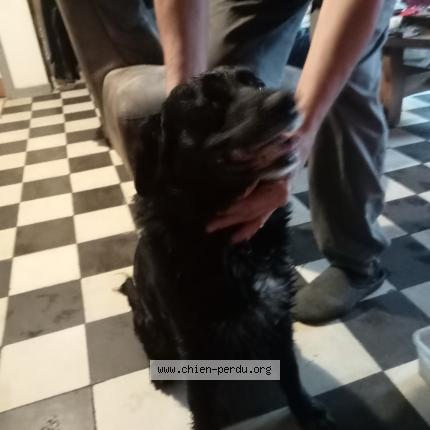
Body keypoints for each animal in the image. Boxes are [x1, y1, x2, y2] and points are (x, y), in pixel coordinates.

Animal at [122, 68, 336, 430]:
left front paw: (306, 412)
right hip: (149, 323)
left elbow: (291, 373)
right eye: (209, 103)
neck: (231, 244)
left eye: (257, 84)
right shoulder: (194, 340)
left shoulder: (276, 310)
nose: (289, 100)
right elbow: (204, 405)